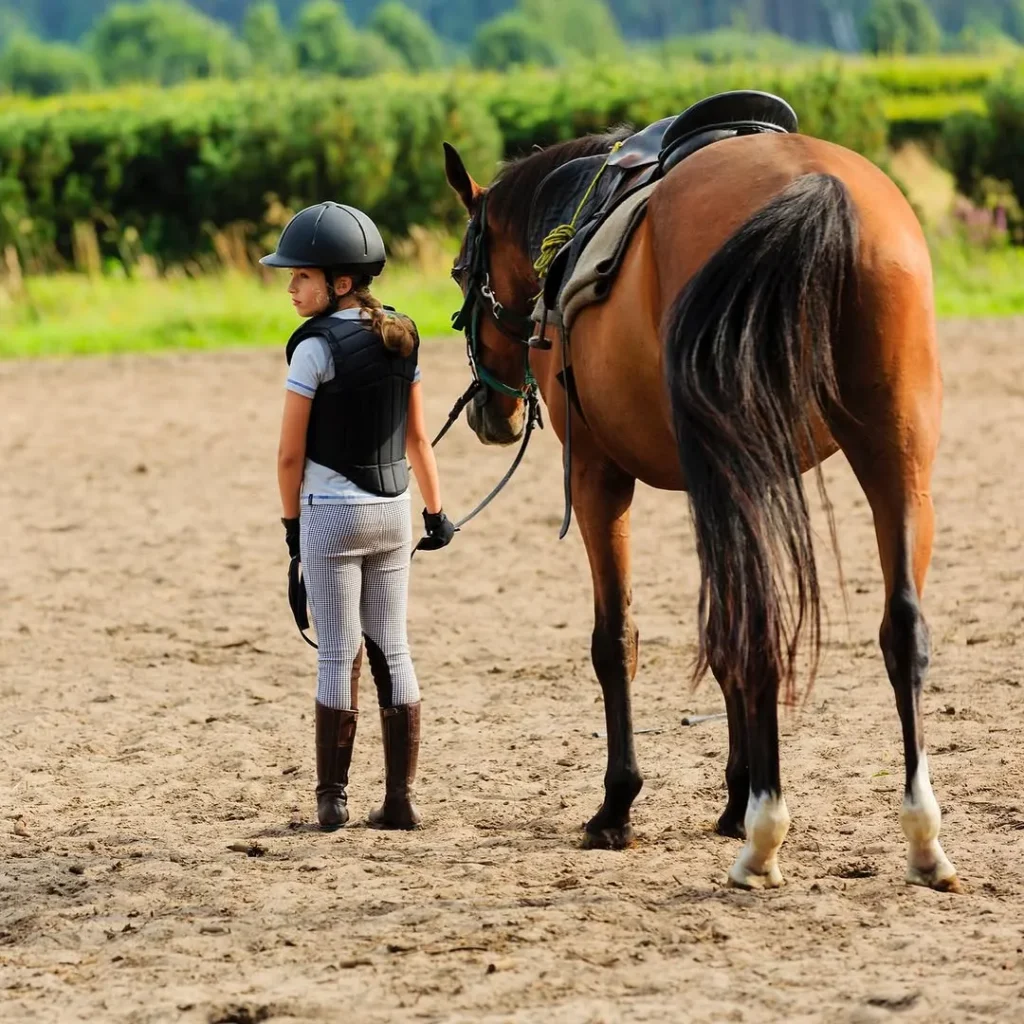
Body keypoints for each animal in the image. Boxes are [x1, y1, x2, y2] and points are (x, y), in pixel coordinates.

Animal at [442, 121, 958, 888]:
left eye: (458, 272)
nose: (488, 414)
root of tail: (815, 187)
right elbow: (720, 642)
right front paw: (733, 796)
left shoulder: (598, 476)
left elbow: (617, 640)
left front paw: (618, 806)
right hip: (897, 460)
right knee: (902, 630)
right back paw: (920, 838)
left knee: (763, 630)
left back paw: (764, 838)